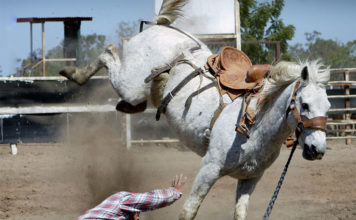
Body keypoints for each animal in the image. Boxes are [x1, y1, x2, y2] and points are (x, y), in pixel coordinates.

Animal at [59, 0, 330, 219]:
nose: (317, 149)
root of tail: (161, 27)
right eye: (305, 104)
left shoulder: (250, 178)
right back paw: (74, 73)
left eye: (327, 107)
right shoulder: (209, 169)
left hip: (136, 91)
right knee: (108, 53)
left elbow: (239, 213)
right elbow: (189, 211)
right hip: (130, 84)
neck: (255, 125)